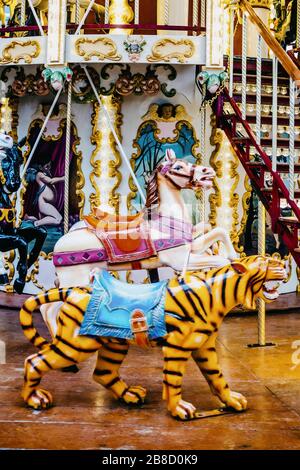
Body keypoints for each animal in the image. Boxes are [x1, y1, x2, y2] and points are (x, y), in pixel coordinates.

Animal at [19, 255, 286, 420]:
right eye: (265, 261)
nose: (283, 263)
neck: (215, 294)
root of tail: (72, 290)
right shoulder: (177, 347)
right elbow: (174, 379)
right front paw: (180, 409)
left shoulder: (204, 346)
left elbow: (217, 376)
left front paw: (232, 401)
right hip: (76, 344)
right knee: (34, 361)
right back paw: (35, 399)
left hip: (113, 344)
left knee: (103, 373)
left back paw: (131, 395)